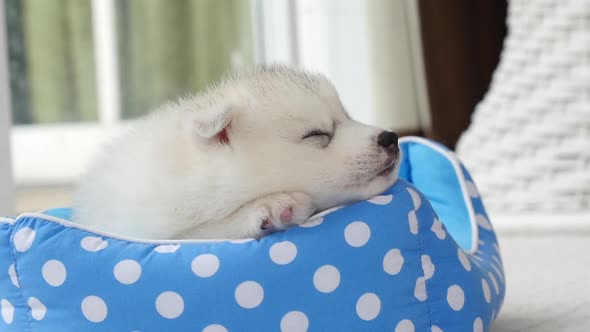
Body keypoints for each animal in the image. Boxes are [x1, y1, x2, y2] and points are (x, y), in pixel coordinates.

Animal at [71, 65, 400, 239]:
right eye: (317, 134)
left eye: (348, 116)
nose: (391, 138)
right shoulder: (146, 227)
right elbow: (206, 231)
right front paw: (274, 206)